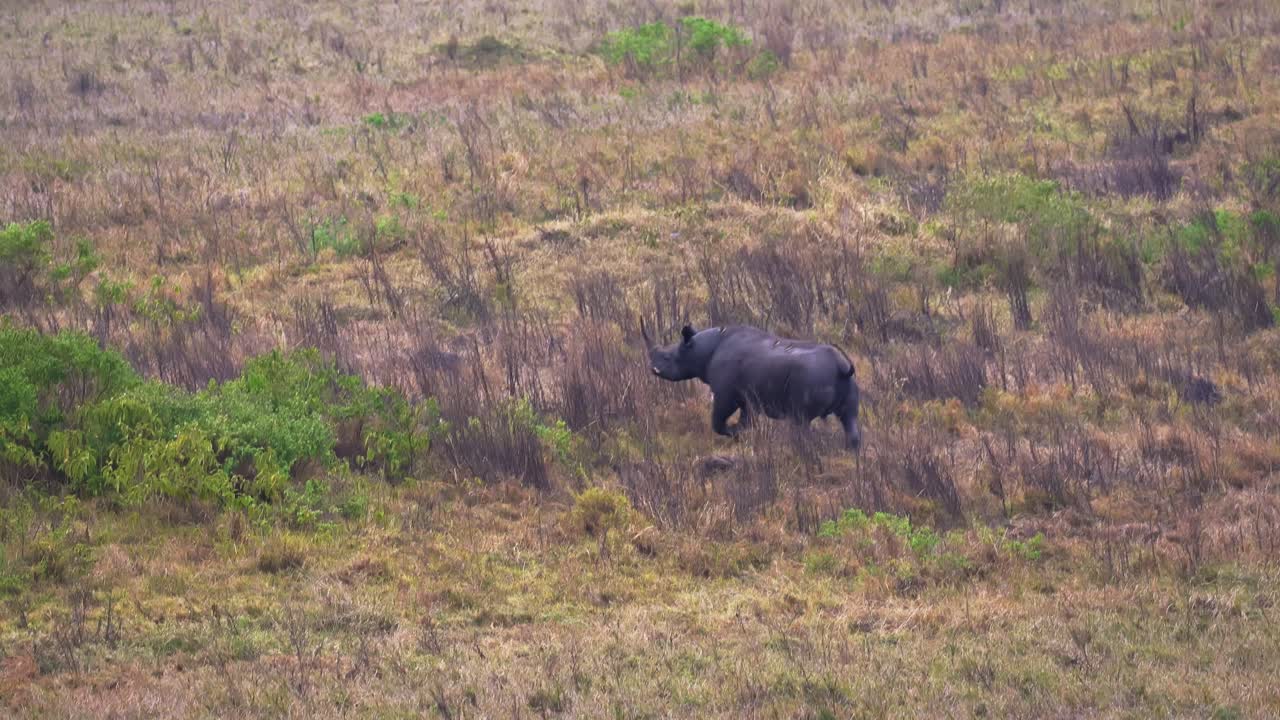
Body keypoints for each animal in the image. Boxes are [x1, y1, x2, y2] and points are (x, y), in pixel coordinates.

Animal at [641, 322, 861, 451]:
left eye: (667, 358)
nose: (653, 369)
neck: (700, 349)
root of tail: (841, 365)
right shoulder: (749, 398)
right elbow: (747, 419)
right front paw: (742, 434)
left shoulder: (725, 393)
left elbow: (717, 422)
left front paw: (734, 432)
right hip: (849, 383)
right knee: (849, 418)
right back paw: (852, 454)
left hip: (810, 378)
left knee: (801, 421)